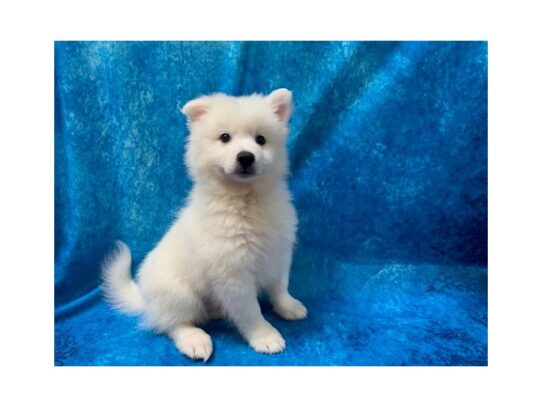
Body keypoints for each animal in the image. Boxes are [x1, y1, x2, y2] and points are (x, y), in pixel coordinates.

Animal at [101, 89, 306, 364]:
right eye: (225, 138)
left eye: (261, 139)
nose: (245, 157)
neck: (245, 201)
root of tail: (146, 299)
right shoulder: (233, 273)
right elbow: (250, 311)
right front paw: (265, 336)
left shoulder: (279, 253)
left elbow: (280, 287)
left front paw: (289, 307)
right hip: (180, 294)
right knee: (172, 323)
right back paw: (195, 340)